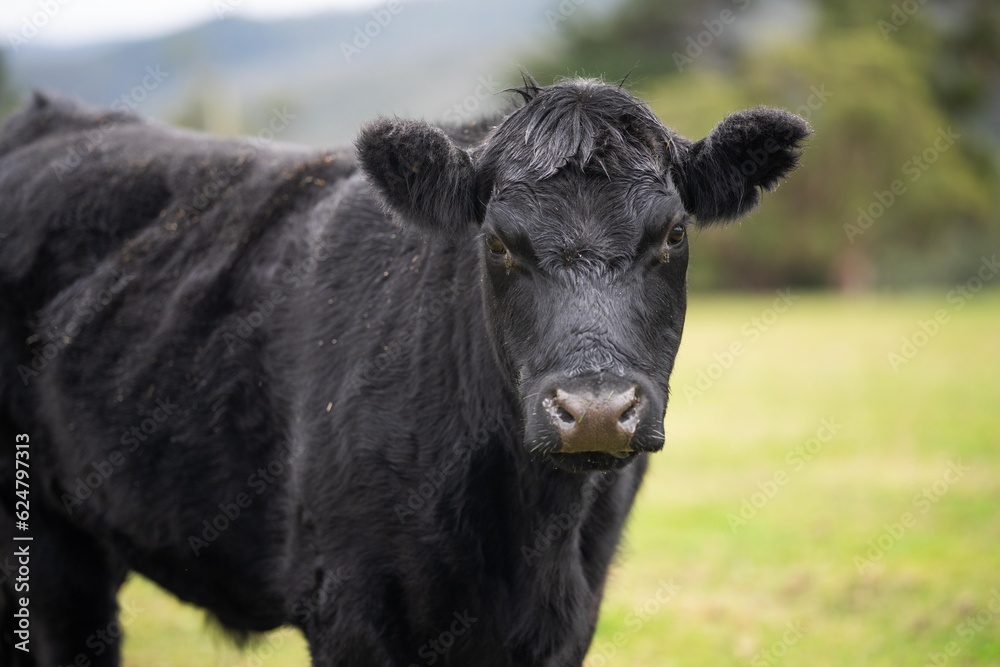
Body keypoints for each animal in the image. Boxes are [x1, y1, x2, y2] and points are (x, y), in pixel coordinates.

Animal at [0, 79, 804, 667]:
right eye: (498, 243)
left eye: (672, 234)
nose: (597, 410)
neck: (528, 532)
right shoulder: (349, 607)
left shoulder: (570, 615)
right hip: (44, 545)